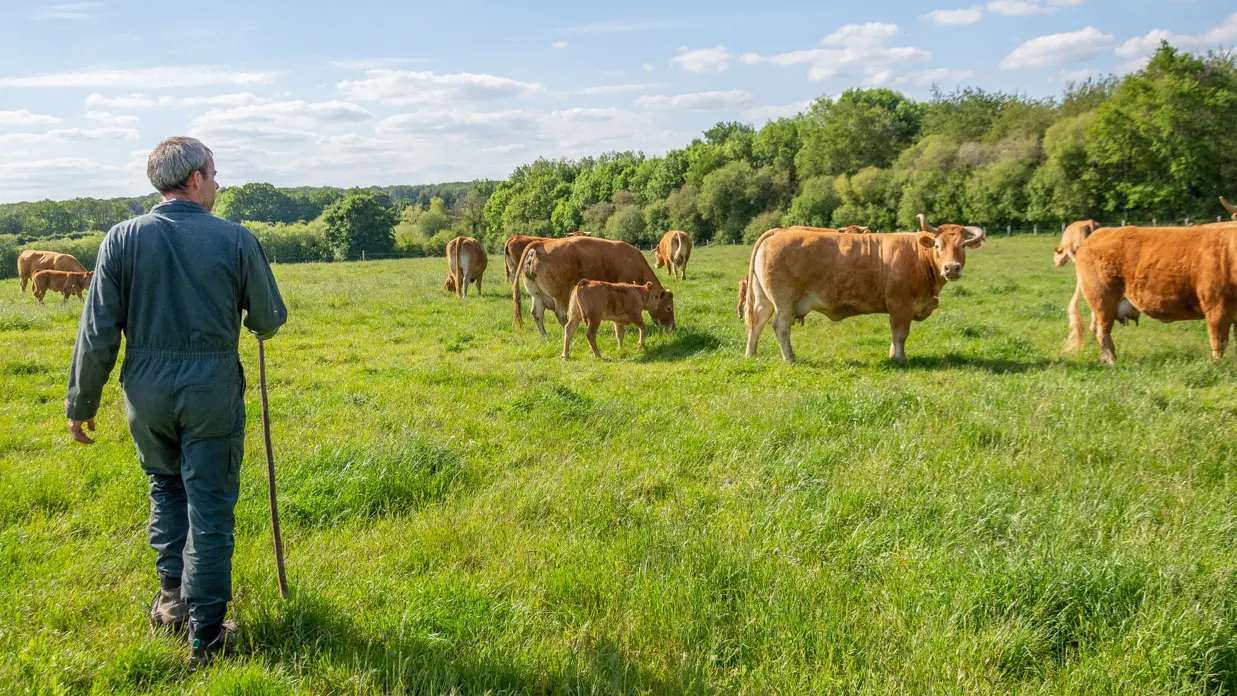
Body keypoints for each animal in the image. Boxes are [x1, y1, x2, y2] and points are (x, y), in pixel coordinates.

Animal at [513, 236, 675, 337]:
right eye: (668, 308)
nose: (673, 327)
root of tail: (540, 244)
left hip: (536, 295)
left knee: (537, 314)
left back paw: (544, 335)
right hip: (561, 294)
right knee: (562, 315)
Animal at [745, 214, 985, 362]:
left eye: (962, 246)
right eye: (938, 246)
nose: (951, 267)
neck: (920, 256)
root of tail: (779, 232)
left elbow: (895, 335)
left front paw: (893, 356)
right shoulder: (901, 305)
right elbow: (900, 334)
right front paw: (900, 358)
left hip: (764, 299)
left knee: (757, 323)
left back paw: (751, 354)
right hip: (784, 300)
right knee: (781, 326)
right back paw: (790, 358)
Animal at [1069, 223, 1237, 363]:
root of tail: (1099, 233)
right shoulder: (1216, 307)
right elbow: (1218, 342)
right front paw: (1218, 365)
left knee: (1095, 327)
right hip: (1103, 298)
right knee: (1102, 330)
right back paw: (1111, 360)